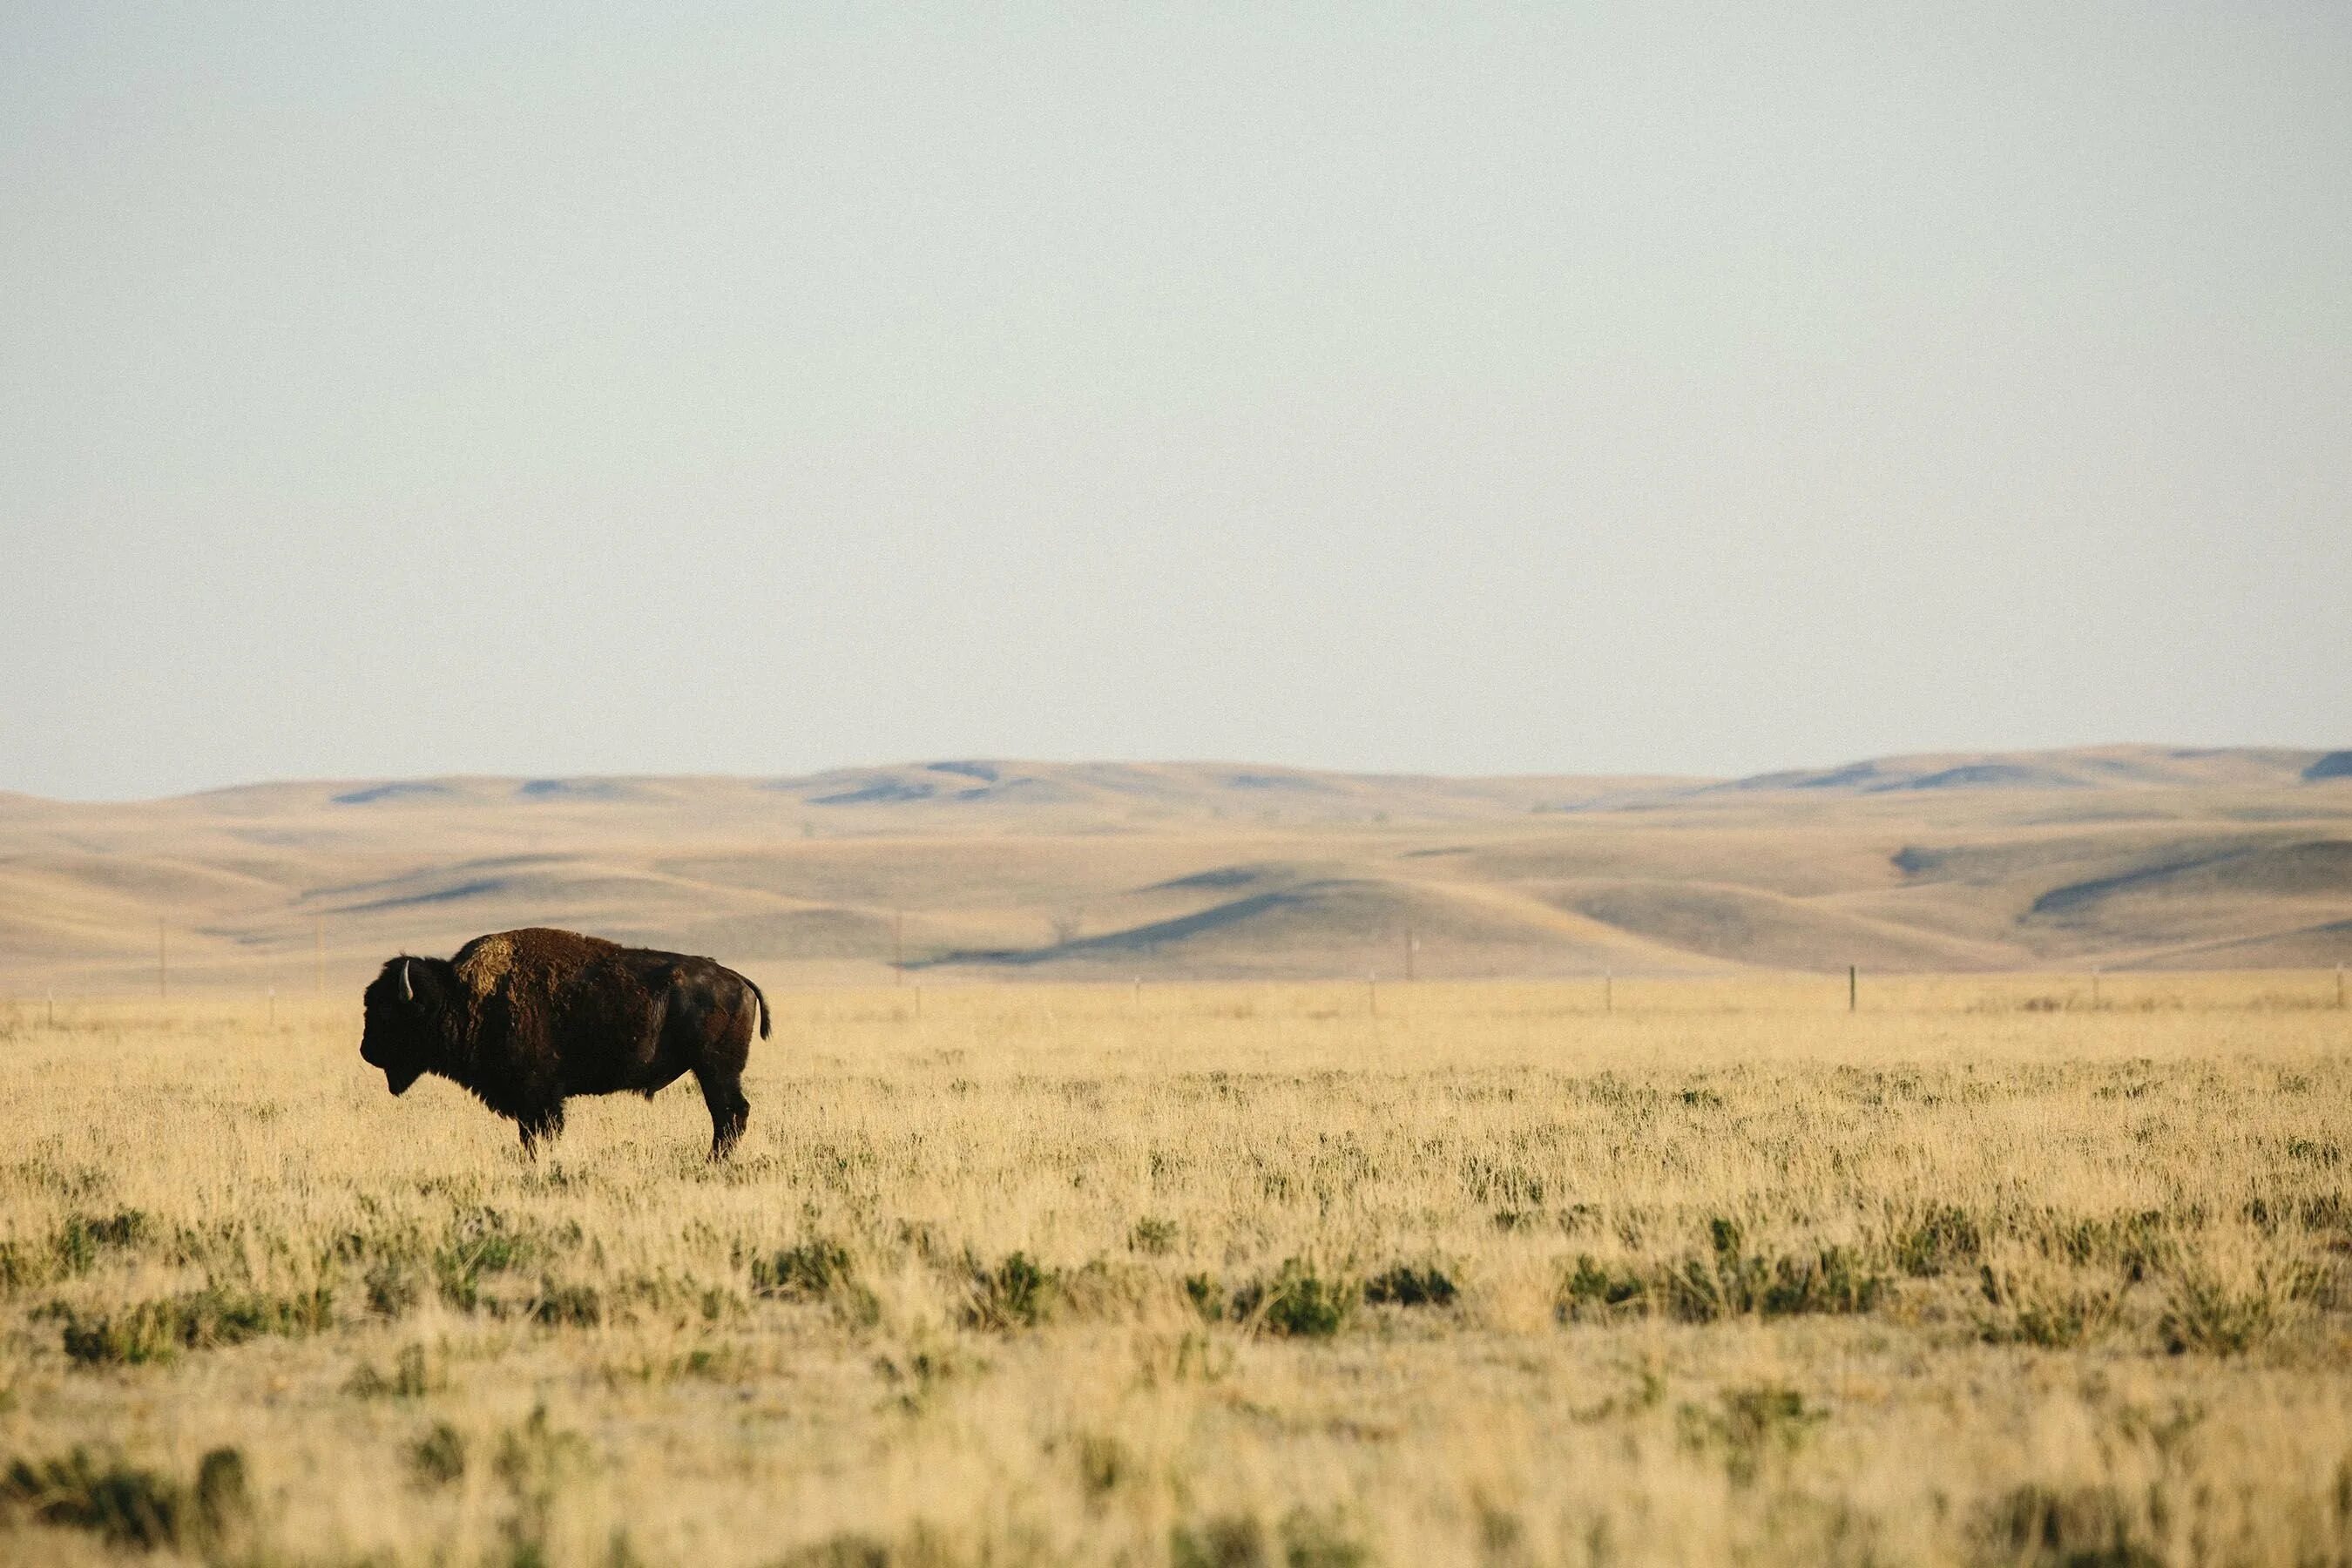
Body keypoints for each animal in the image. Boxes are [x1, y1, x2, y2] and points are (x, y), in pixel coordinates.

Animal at [357, 926, 767, 1161]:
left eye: (389, 1012)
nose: (366, 1051)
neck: (462, 997)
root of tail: (738, 980)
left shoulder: (538, 1097)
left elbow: (540, 1134)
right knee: (728, 1114)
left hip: (715, 1069)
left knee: (730, 1112)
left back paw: (714, 1161)